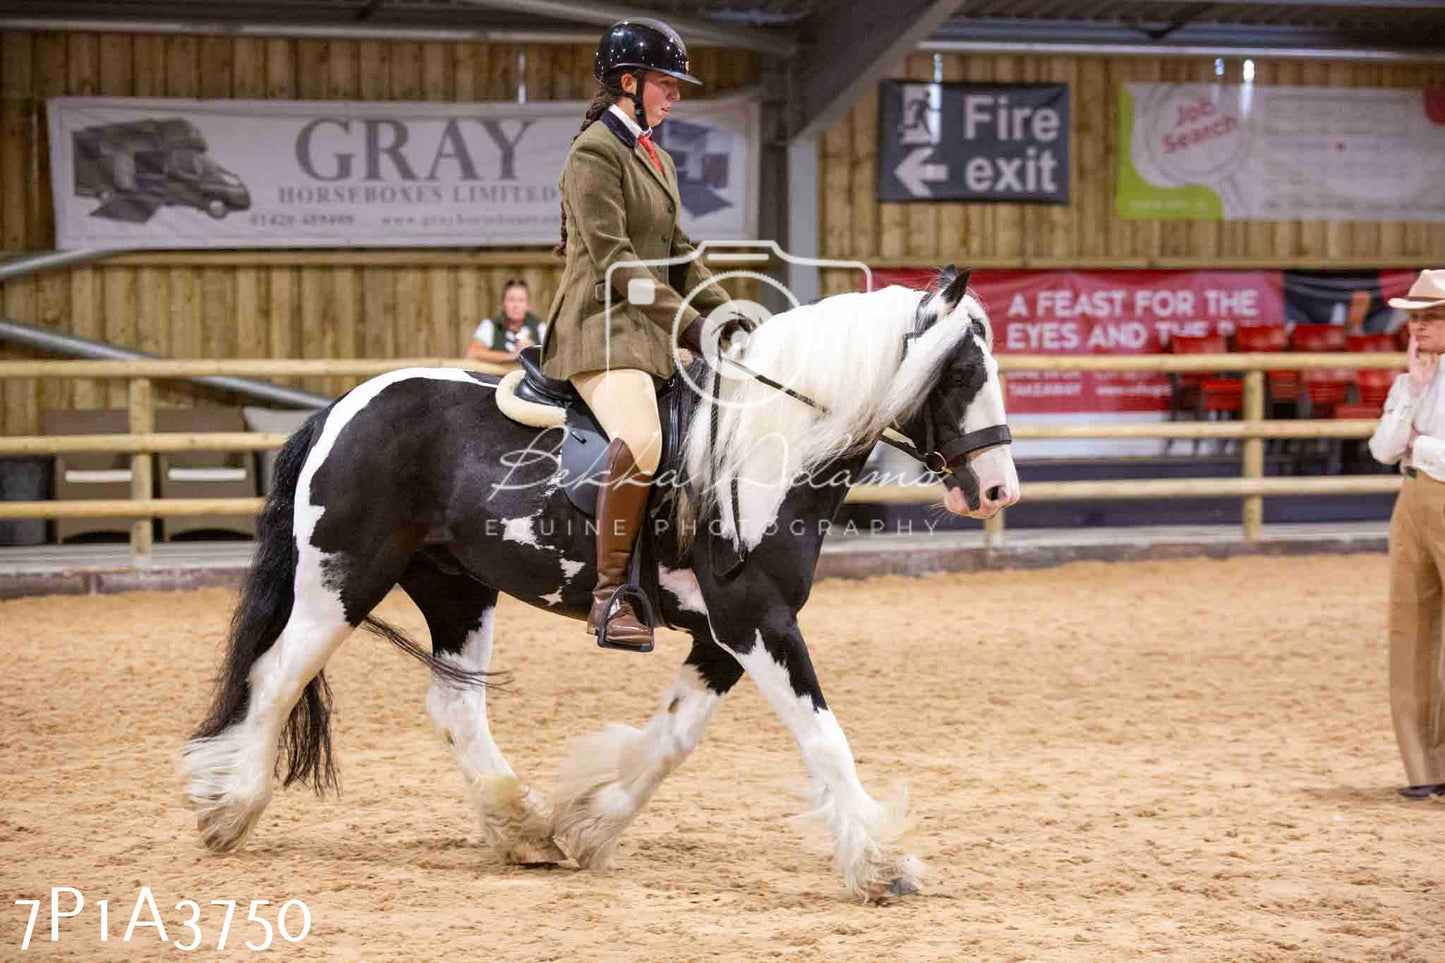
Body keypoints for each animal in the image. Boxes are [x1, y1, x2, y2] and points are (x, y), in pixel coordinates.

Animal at [180, 264, 1017, 902]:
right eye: (962, 372)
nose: (998, 488)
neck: (766, 444)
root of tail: (340, 407)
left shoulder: (726, 634)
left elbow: (673, 736)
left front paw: (587, 823)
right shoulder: (756, 620)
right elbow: (823, 738)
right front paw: (878, 861)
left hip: (457, 589)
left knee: (453, 703)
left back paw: (522, 825)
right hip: (341, 581)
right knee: (276, 675)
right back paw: (231, 809)